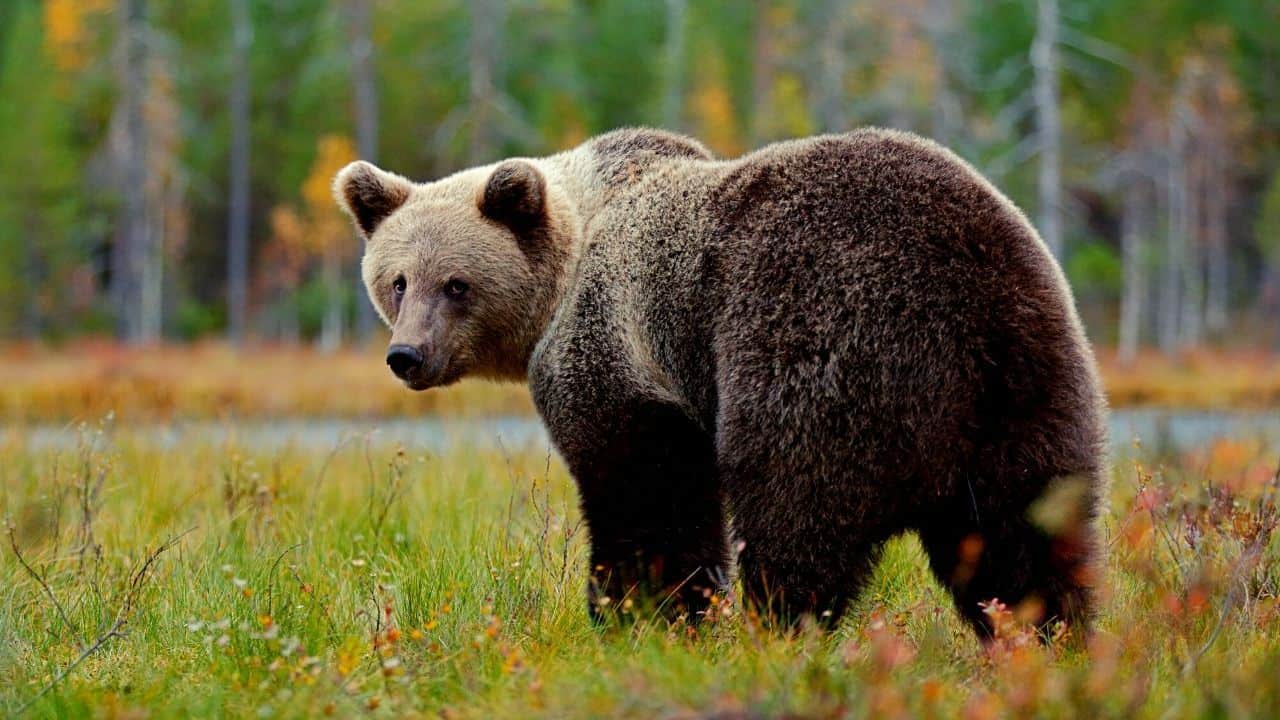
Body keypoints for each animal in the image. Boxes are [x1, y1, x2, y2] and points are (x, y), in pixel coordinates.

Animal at [333, 127, 1108, 637]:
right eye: (396, 281)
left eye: (456, 284)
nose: (407, 356)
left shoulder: (623, 346)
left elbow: (647, 495)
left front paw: (639, 613)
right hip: (1028, 377)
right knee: (1024, 529)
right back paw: (1044, 634)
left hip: (822, 338)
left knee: (798, 508)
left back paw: (775, 630)